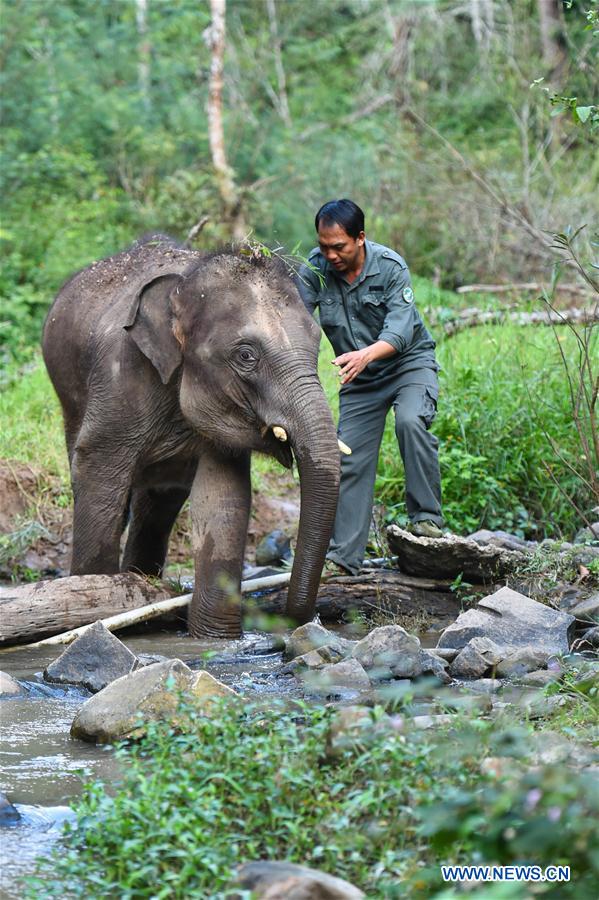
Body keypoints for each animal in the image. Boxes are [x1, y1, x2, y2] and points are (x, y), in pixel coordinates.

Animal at [42, 235, 340, 638]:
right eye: (246, 356)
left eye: (317, 344)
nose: (299, 620)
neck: (184, 284)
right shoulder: (119, 377)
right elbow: (97, 475)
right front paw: (93, 605)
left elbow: (223, 499)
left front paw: (215, 638)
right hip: (68, 394)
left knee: (160, 501)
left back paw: (145, 583)